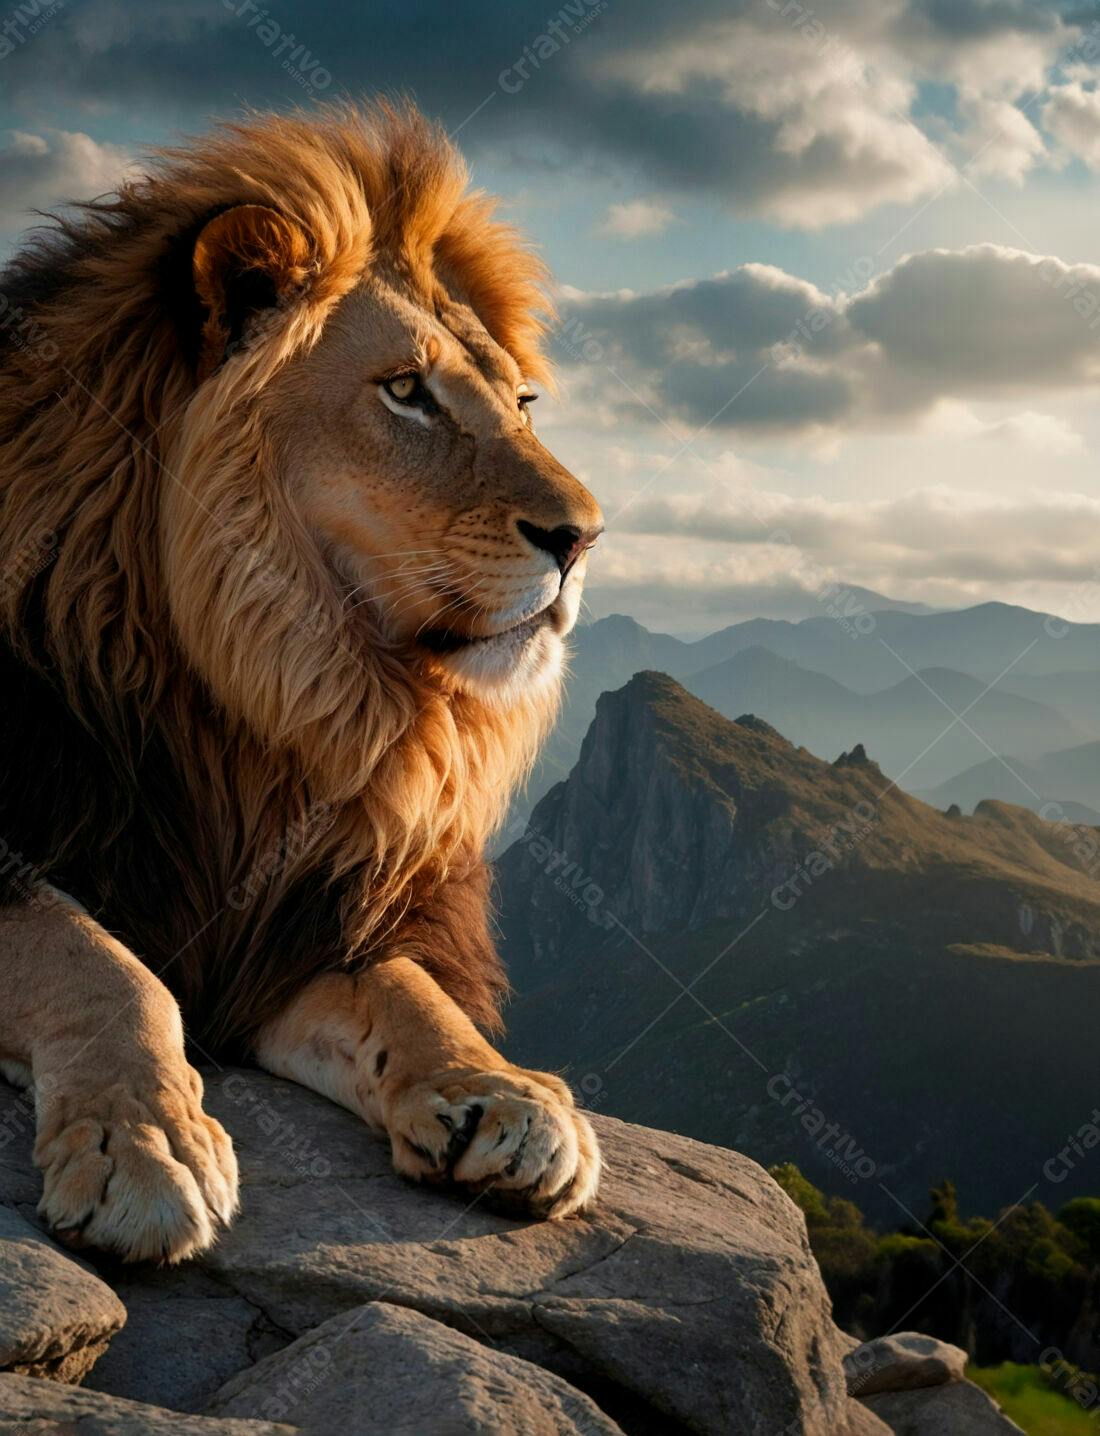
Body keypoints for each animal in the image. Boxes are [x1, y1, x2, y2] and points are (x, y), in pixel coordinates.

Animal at [0, 102, 604, 1262]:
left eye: (521, 401)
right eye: (406, 392)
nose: (583, 536)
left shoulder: (301, 910)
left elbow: (409, 989)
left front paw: (501, 1094)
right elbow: (99, 961)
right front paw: (143, 1143)